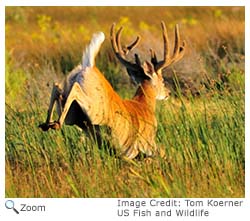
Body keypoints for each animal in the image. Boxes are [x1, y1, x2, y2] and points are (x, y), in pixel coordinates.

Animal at [38, 21, 185, 159]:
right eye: (162, 80)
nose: (168, 93)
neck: (144, 104)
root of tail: (89, 66)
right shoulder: (147, 144)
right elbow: (164, 153)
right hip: (95, 110)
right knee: (75, 89)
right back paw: (55, 124)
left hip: (73, 115)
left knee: (57, 87)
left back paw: (47, 124)